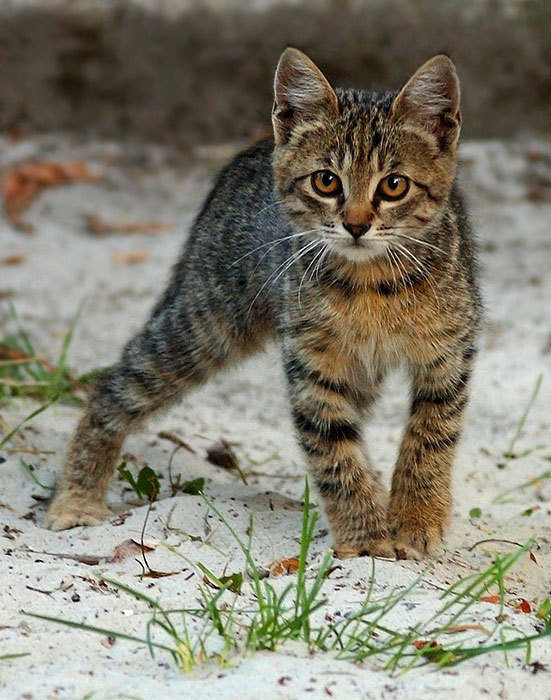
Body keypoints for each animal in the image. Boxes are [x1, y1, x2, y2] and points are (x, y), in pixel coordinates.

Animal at [45, 49, 480, 560]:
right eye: (326, 181)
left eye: (394, 185)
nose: (355, 226)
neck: (373, 284)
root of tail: (248, 155)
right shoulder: (313, 365)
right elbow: (334, 450)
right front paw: (367, 539)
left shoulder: (449, 353)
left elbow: (430, 437)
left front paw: (415, 518)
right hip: (206, 322)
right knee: (112, 384)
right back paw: (77, 497)